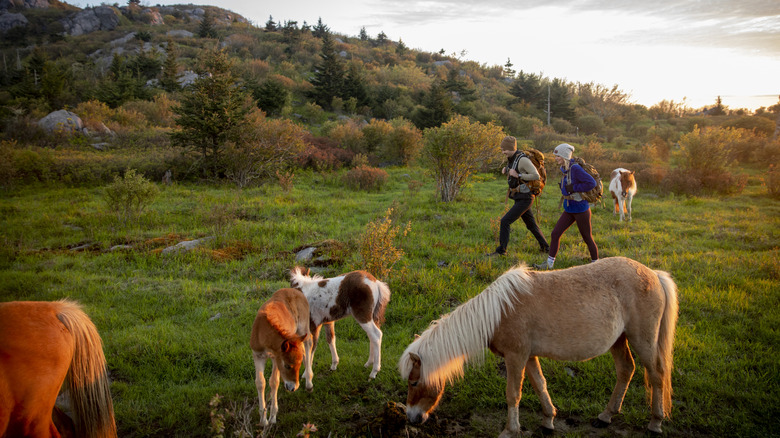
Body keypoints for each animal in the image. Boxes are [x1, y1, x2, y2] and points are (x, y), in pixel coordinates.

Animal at [248, 288, 312, 428]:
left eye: (298, 366)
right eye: (287, 365)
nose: (293, 387)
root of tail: (295, 290)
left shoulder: (275, 358)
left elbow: (274, 381)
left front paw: (272, 417)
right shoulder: (257, 355)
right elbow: (260, 382)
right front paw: (263, 420)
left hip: (302, 328)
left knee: (308, 345)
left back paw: (309, 383)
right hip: (296, 337)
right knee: (304, 350)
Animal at [400, 256, 680, 438]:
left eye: (414, 382)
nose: (411, 417)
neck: (498, 313)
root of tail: (654, 274)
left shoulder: (515, 357)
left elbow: (513, 393)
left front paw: (510, 431)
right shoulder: (529, 356)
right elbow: (540, 385)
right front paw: (548, 420)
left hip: (643, 340)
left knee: (656, 375)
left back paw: (655, 423)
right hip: (619, 340)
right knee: (626, 370)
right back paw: (605, 416)